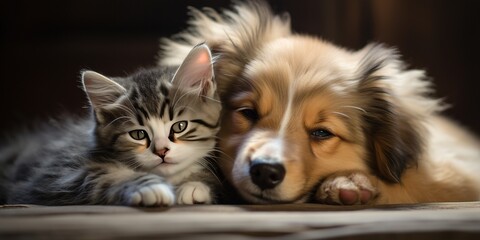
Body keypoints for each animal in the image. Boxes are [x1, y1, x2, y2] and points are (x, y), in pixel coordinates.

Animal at [0, 43, 221, 206]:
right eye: (138, 135)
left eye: (179, 127)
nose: (161, 152)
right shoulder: (56, 175)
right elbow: (108, 177)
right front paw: (149, 187)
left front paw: (194, 184)